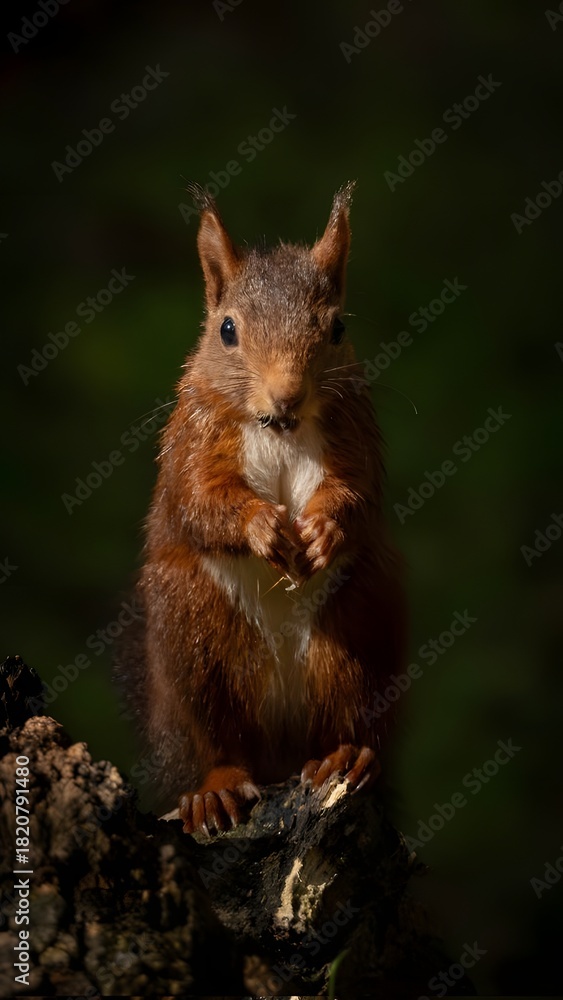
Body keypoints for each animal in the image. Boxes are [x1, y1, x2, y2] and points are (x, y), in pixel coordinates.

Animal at [118, 181, 407, 836]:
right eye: (227, 330)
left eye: (337, 327)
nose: (287, 394)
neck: (279, 428)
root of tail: (281, 750)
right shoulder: (194, 435)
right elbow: (200, 498)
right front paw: (262, 527)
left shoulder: (355, 433)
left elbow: (358, 493)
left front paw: (323, 528)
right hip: (194, 635)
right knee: (217, 739)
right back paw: (216, 789)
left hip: (359, 624)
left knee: (351, 715)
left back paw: (344, 756)